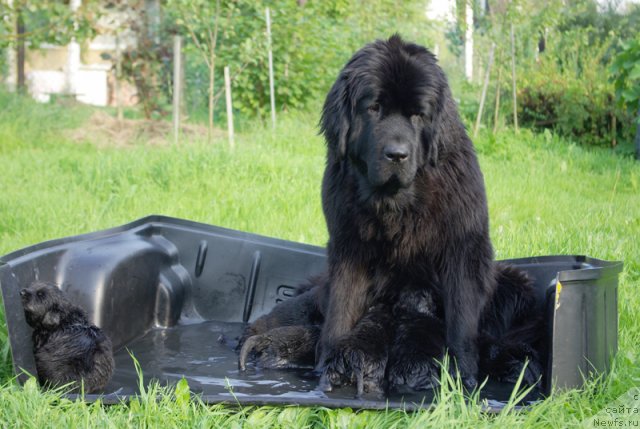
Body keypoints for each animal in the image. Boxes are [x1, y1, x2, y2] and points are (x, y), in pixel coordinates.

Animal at [238, 36, 544, 394]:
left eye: (418, 114)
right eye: (374, 108)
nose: (397, 154)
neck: (396, 202)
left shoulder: (463, 249)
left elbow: (461, 322)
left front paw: (465, 376)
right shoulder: (348, 249)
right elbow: (340, 312)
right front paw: (325, 363)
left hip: (512, 281)